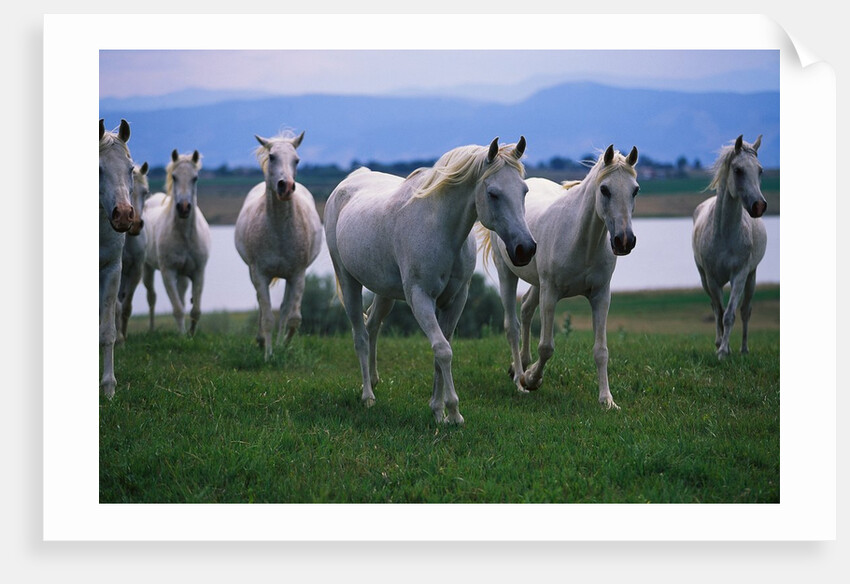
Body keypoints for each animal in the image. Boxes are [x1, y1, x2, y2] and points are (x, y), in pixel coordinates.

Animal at [142, 149, 211, 335]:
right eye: (174, 177)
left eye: (195, 177)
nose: (184, 208)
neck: (184, 235)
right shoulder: (168, 272)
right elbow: (178, 308)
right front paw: (181, 336)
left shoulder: (198, 272)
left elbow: (195, 310)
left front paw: (191, 334)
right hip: (147, 268)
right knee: (151, 297)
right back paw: (151, 329)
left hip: (183, 276)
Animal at [234, 131, 323, 360]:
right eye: (272, 156)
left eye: (297, 160)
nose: (287, 187)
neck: (279, 232)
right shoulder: (260, 274)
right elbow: (267, 317)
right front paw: (268, 355)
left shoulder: (298, 275)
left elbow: (293, 318)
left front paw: (284, 346)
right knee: (261, 306)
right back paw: (261, 341)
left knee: (283, 309)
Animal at [324, 137, 536, 424]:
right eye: (493, 193)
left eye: (524, 191)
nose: (525, 249)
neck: (440, 228)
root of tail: (348, 183)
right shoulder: (420, 297)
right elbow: (442, 350)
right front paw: (454, 412)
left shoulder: (455, 300)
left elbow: (442, 351)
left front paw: (438, 410)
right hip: (348, 282)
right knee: (360, 336)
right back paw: (368, 396)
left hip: (385, 293)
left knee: (372, 326)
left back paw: (374, 381)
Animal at [480, 144, 639, 410]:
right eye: (605, 189)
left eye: (635, 190)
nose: (624, 241)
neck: (580, 240)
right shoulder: (551, 293)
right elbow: (546, 347)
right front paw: (532, 379)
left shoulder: (600, 296)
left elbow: (601, 350)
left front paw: (607, 400)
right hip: (509, 274)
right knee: (512, 325)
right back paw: (519, 378)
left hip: (537, 283)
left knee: (526, 309)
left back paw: (519, 365)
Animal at [692, 135, 767, 360]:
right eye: (738, 170)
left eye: (760, 170)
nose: (759, 206)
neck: (724, 233)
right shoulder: (711, 278)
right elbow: (719, 310)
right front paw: (721, 346)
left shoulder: (740, 275)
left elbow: (730, 314)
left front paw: (725, 351)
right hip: (704, 278)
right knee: (715, 307)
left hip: (752, 276)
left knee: (745, 310)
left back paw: (743, 348)